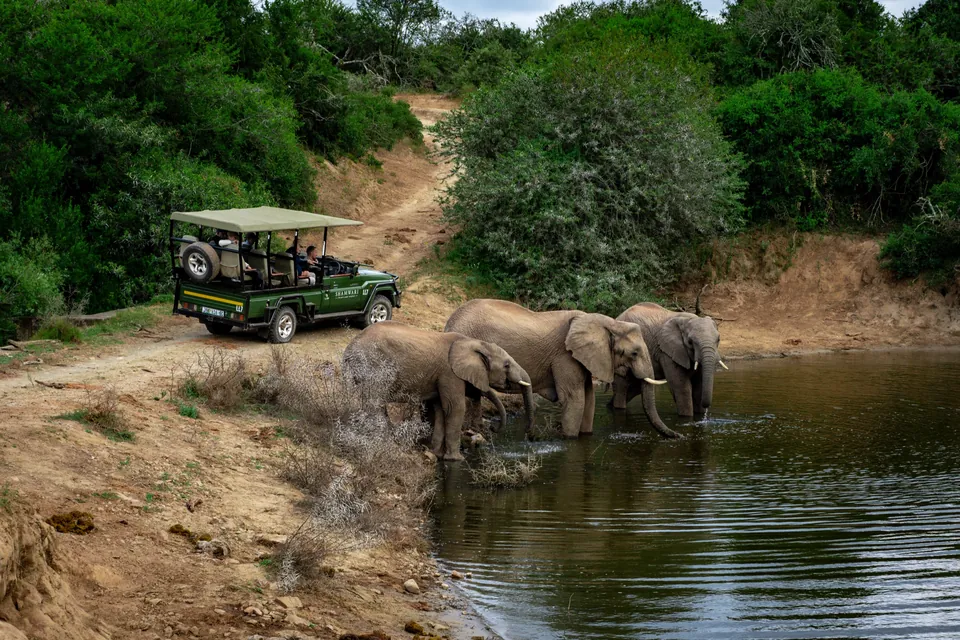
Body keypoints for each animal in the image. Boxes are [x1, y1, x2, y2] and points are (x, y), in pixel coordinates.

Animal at [342, 321, 534, 460]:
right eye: (506, 365)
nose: (493, 428)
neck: (474, 342)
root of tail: (349, 348)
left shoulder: (438, 377)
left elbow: (440, 409)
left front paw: (436, 454)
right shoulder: (449, 373)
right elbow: (455, 408)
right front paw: (457, 459)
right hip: (372, 366)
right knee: (374, 403)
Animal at [444, 299, 681, 440]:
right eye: (633, 353)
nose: (680, 436)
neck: (607, 322)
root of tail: (449, 322)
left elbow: (589, 398)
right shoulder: (565, 356)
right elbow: (574, 398)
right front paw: (569, 439)